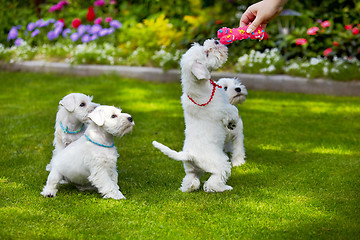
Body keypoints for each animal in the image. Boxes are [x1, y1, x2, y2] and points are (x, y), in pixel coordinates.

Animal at [152, 39, 239, 193]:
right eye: (206, 53)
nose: (216, 40)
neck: (198, 88)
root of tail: (190, 154)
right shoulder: (224, 109)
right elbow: (233, 110)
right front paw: (232, 123)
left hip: (190, 169)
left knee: (191, 181)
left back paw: (187, 188)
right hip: (220, 163)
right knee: (213, 181)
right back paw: (224, 187)